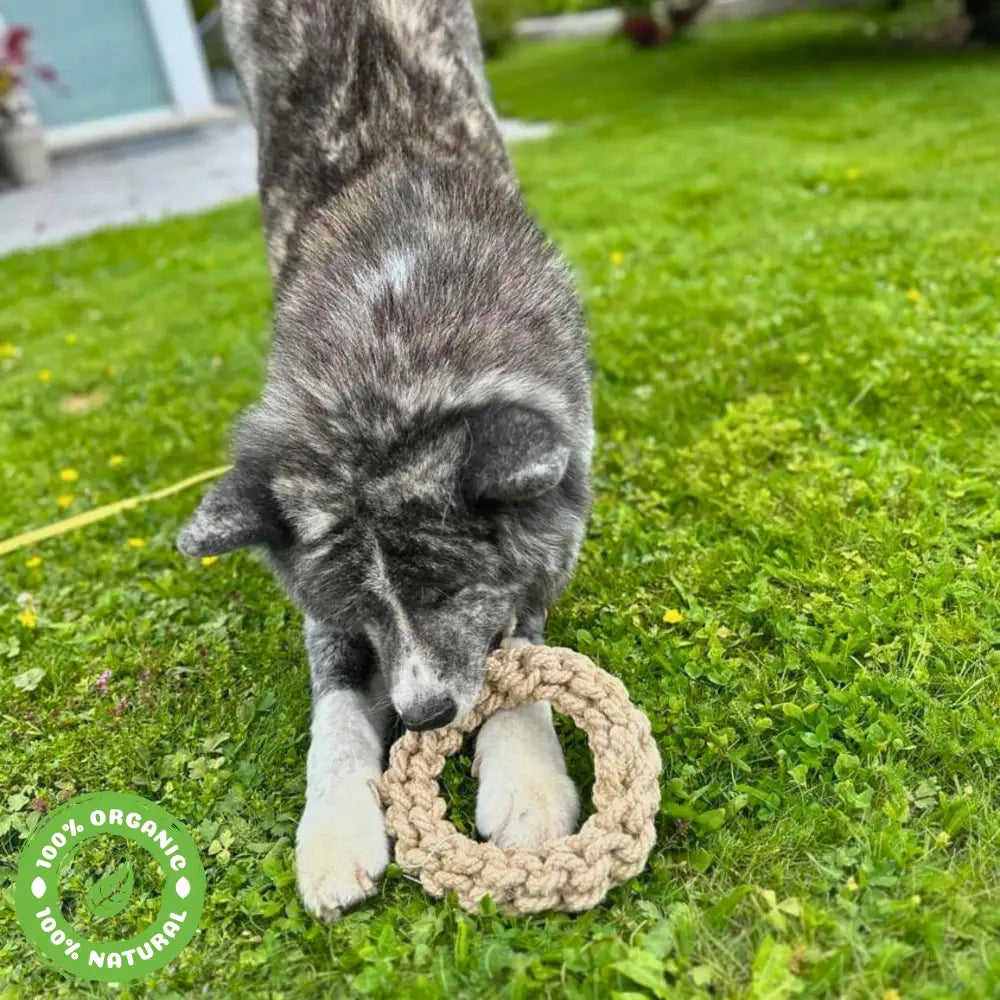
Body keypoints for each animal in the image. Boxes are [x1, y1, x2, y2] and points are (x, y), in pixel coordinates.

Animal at [178, 0, 592, 920]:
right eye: (361, 609)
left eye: (448, 591)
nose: (426, 714)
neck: (390, 363)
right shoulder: (328, 618)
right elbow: (334, 713)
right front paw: (334, 830)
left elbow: (516, 648)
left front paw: (526, 781)